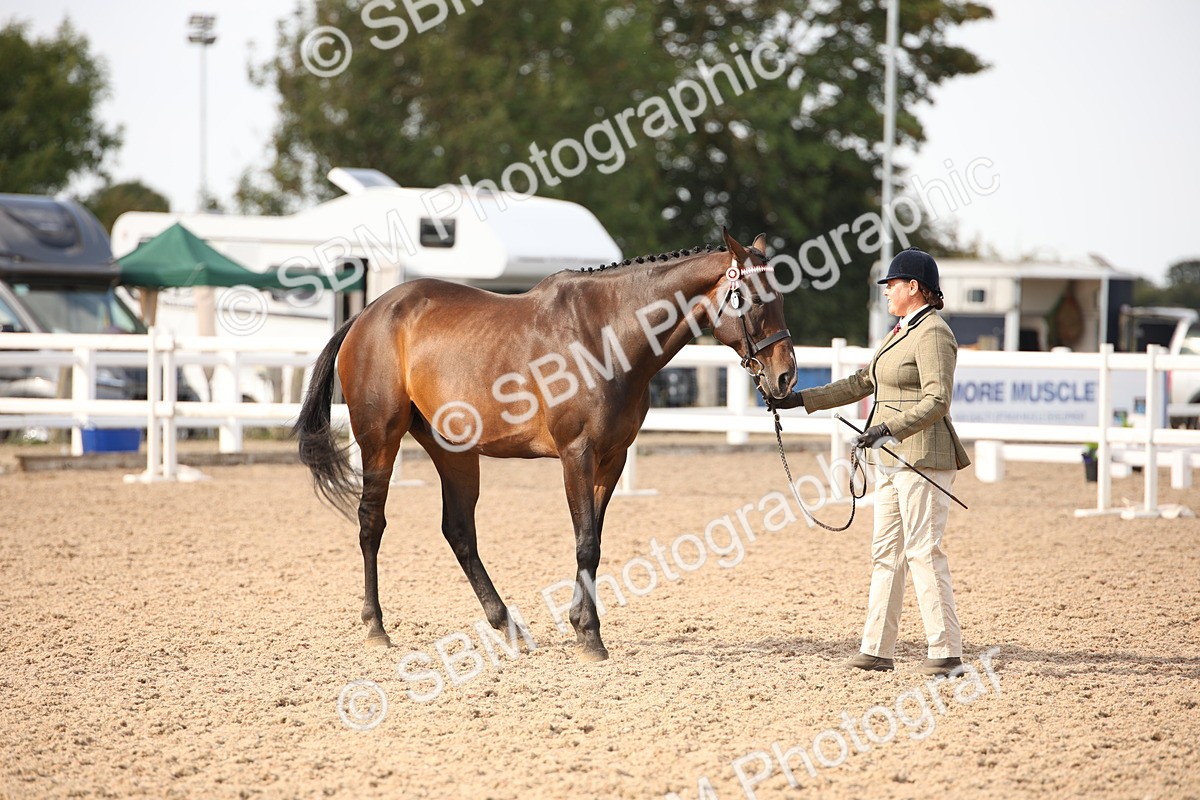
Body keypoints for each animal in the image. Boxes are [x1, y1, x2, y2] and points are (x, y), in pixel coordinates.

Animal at [294, 228, 797, 661]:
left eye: (781, 298)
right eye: (754, 300)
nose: (785, 376)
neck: (606, 335)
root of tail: (367, 315)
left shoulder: (612, 459)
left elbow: (594, 540)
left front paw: (580, 623)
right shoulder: (577, 454)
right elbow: (585, 542)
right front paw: (590, 636)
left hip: (453, 451)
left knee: (458, 531)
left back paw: (507, 625)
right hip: (380, 439)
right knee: (371, 523)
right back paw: (376, 627)